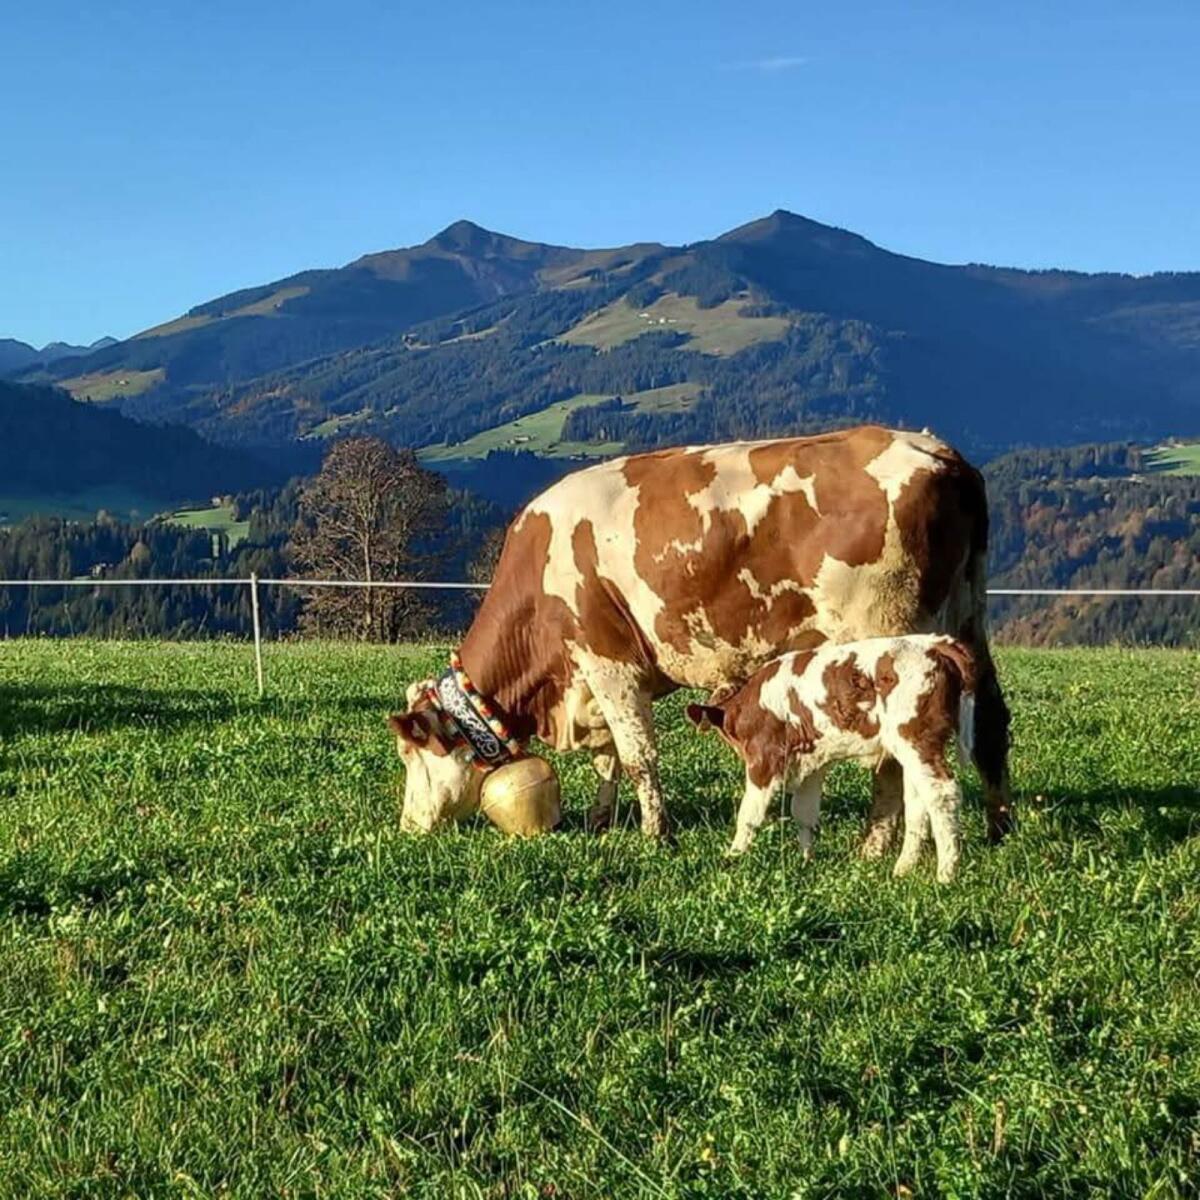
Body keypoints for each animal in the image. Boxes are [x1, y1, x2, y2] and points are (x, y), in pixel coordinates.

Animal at [388, 425, 1012, 847]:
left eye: (411, 753)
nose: (409, 826)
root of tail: (939, 453)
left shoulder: (608, 659)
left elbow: (636, 754)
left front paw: (655, 836)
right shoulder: (595, 678)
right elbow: (609, 758)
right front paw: (601, 822)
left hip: (887, 637)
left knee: (893, 755)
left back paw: (874, 847)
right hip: (968, 617)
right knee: (992, 723)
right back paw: (998, 828)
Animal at [686, 634, 977, 880]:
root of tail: (933, 643)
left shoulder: (765, 758)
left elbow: (749, 814)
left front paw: (734, 857)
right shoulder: (812, 762)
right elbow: (804, 813)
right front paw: (806, 860)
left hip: (917, 740)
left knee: (942, 793)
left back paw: (946, 874)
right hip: (908, 750)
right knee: (918, 803)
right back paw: (903, 868)